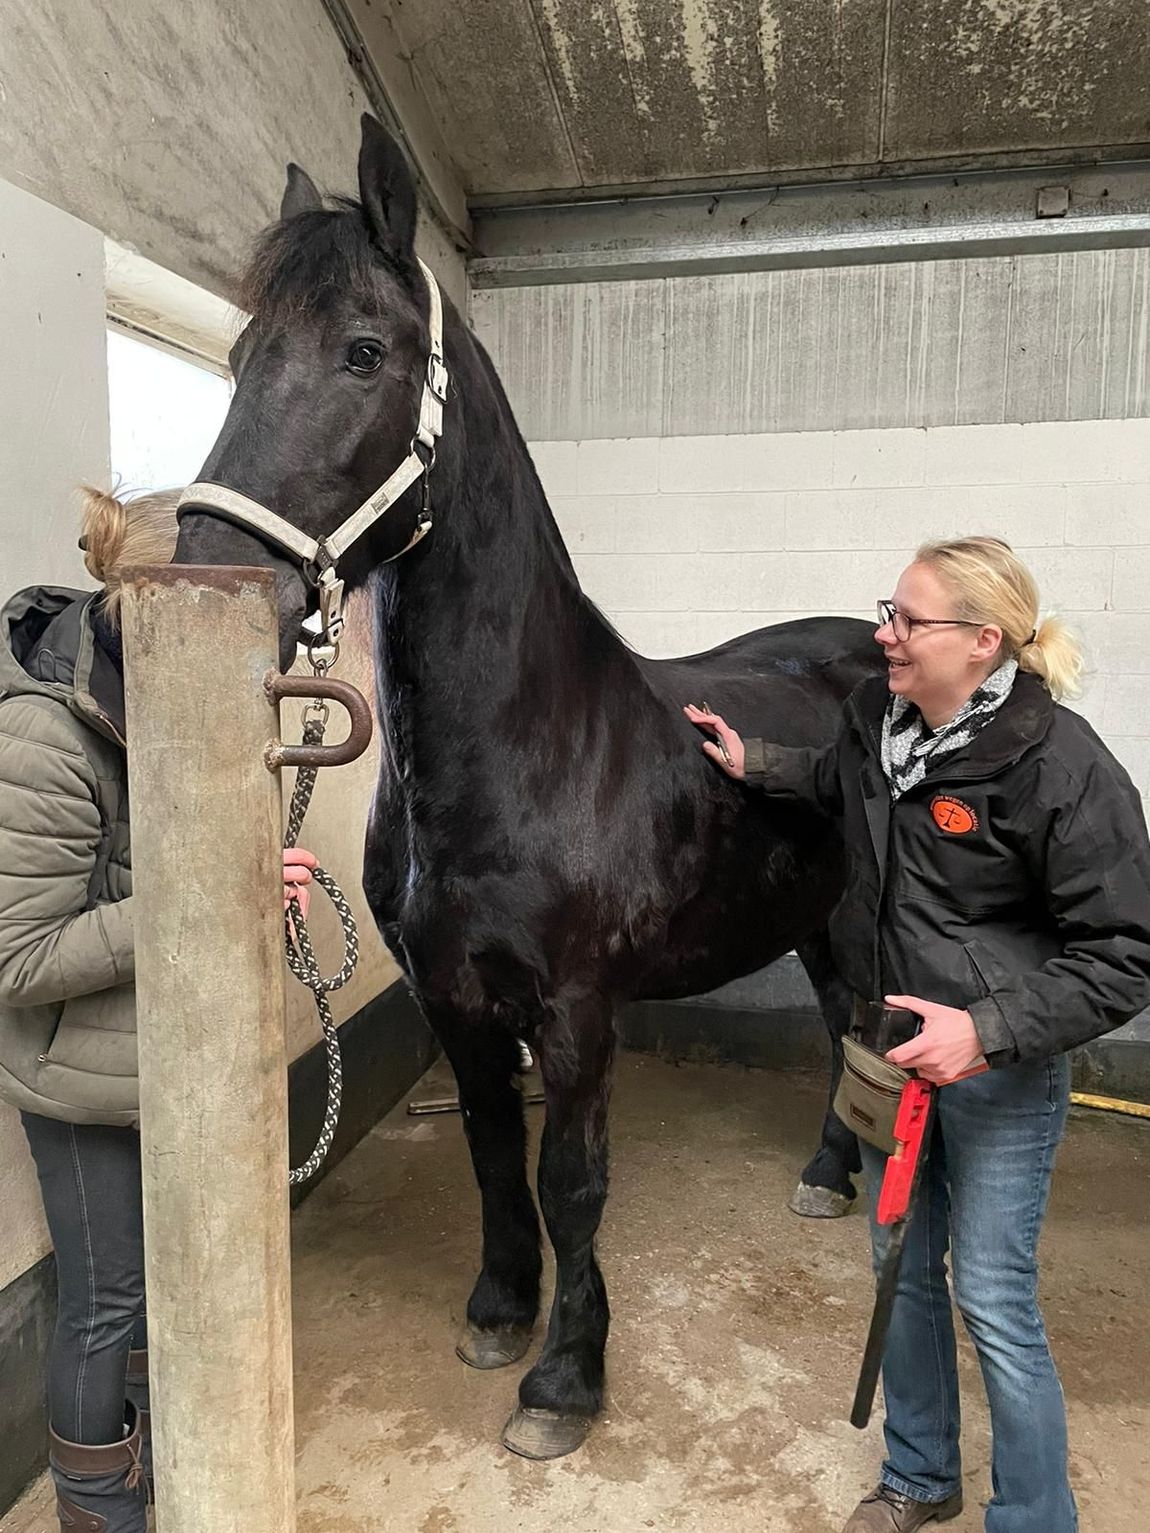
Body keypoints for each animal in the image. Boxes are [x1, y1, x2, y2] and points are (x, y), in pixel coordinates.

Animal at [174, 115, 885, 1460]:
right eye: (239, 356)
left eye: (363, 351)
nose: (200, 578)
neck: (527, 749)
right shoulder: (455, 1001)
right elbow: (495, 1158)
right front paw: (501, 1311)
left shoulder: (576, 1011)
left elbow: (572, 1181)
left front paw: (565, 1381)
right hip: (814, 918)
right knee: (843, 1026)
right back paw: (830, 1174)